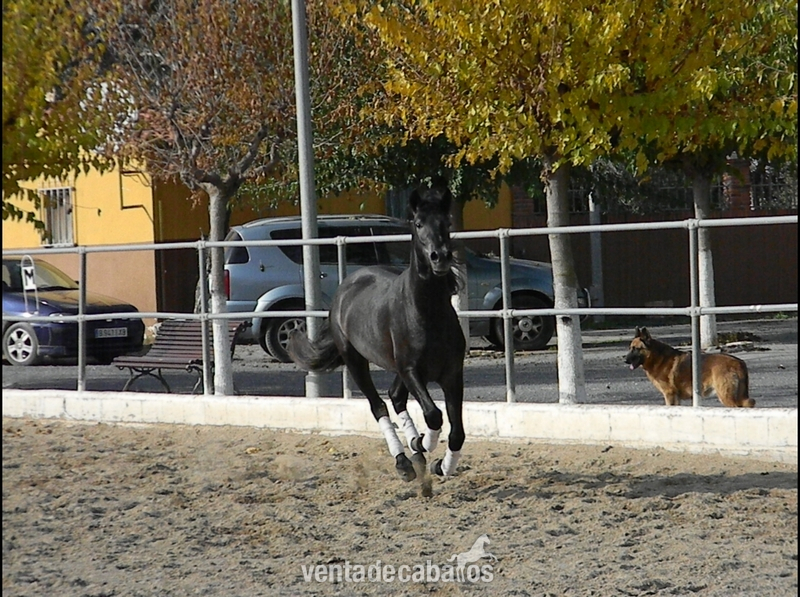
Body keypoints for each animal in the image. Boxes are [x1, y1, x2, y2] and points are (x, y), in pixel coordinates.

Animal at [288, 185, 466, 484]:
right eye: (419, 223)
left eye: (447, 222)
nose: (440, 257)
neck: (427, 313)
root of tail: (346, 287)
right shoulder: (411, 370)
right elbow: (433, 415)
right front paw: (424, 445)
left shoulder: (452, 374)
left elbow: (457, 433)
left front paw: (438, 463)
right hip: (356, 361)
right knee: (379, 405)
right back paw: (404, 461)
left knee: (395, 396)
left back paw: (415, 450)